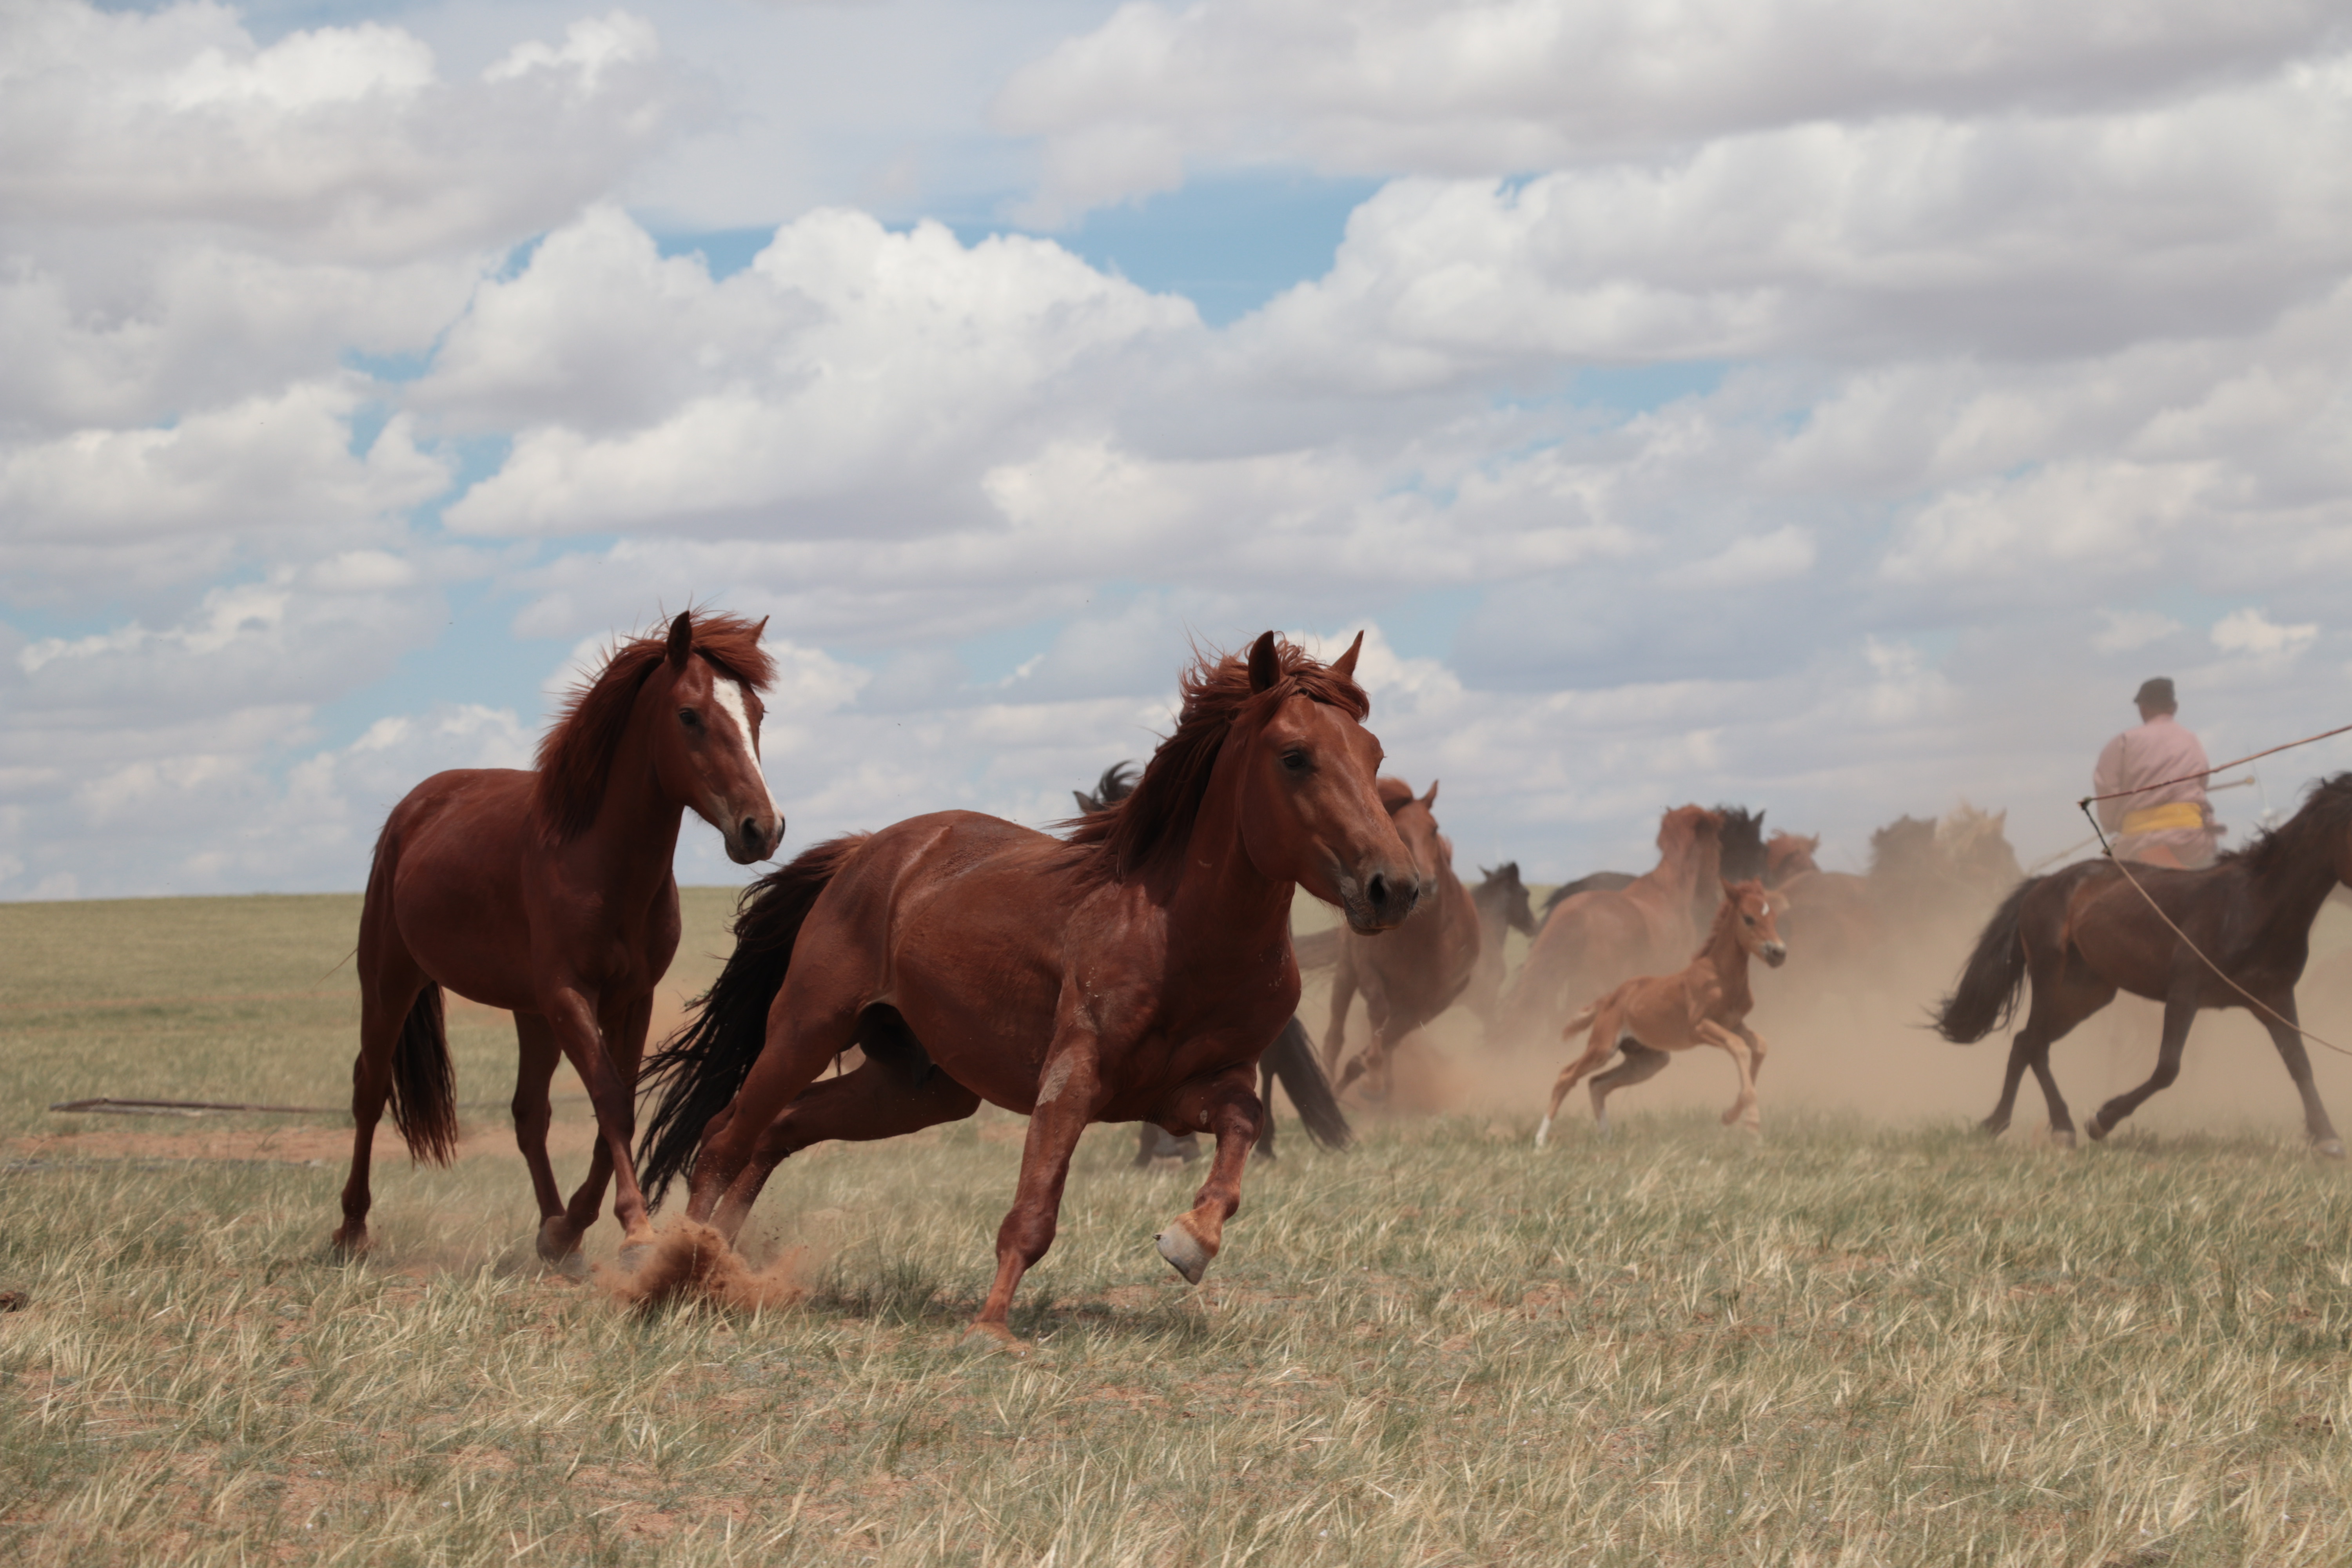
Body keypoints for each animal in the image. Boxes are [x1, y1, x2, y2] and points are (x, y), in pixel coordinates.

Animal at [336, 611, 783, 1268]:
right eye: (689, 715)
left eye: (757, 714)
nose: (763, 829)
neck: (598, 860)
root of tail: (413, 808)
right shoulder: (570, 995)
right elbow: (611, 1101)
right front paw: (635, 1231)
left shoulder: (630, 1000)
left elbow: (613, 1106)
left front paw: (574, 1225)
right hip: (390, 980)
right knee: (369, 1091)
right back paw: (351, 1229)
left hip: (530, 1012)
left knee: (529, 1114)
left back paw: (553, 1235)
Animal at [1323, 779, 1483, 1100]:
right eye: (1399, 830)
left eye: (1434, 829)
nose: (1428, 885)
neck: (1424, 939)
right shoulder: (1368, 969)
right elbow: (1377, 1010)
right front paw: (1370, 1079)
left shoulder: (1430, 1003)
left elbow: (1391, 1037)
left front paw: (1369, 1077)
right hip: (1346, 972)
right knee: (1335, 1035)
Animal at [1534, 879, 1788, 1144]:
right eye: (1749, 918)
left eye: (1773, 916)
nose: (1779, 953)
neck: (1720, 975)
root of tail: (1610, 999)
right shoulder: (1700, 1027)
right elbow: (1739, 1048)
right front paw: (1752, 1125)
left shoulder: (1734, 1024)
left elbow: (1760, 1046)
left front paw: (1729, 1116)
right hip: (1603, 1047)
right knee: (1567, 1076)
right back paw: (1540, 1140)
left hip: (1649, 1060)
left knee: (1597, 1083)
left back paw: (1607, 1139)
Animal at [1933, 774, 2352, 1155]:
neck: (2252, 909)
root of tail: (2045, 883)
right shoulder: (2184, 993)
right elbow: (2167, 1068)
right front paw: (2102, 1120)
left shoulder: (2274, 998)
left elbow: (2300, 1064)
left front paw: (2327, 1137)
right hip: (2051, 976)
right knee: (2035, 1044)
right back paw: (2059, 1127)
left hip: (2087, 995)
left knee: (2025, 1042)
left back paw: (2002, 1122)